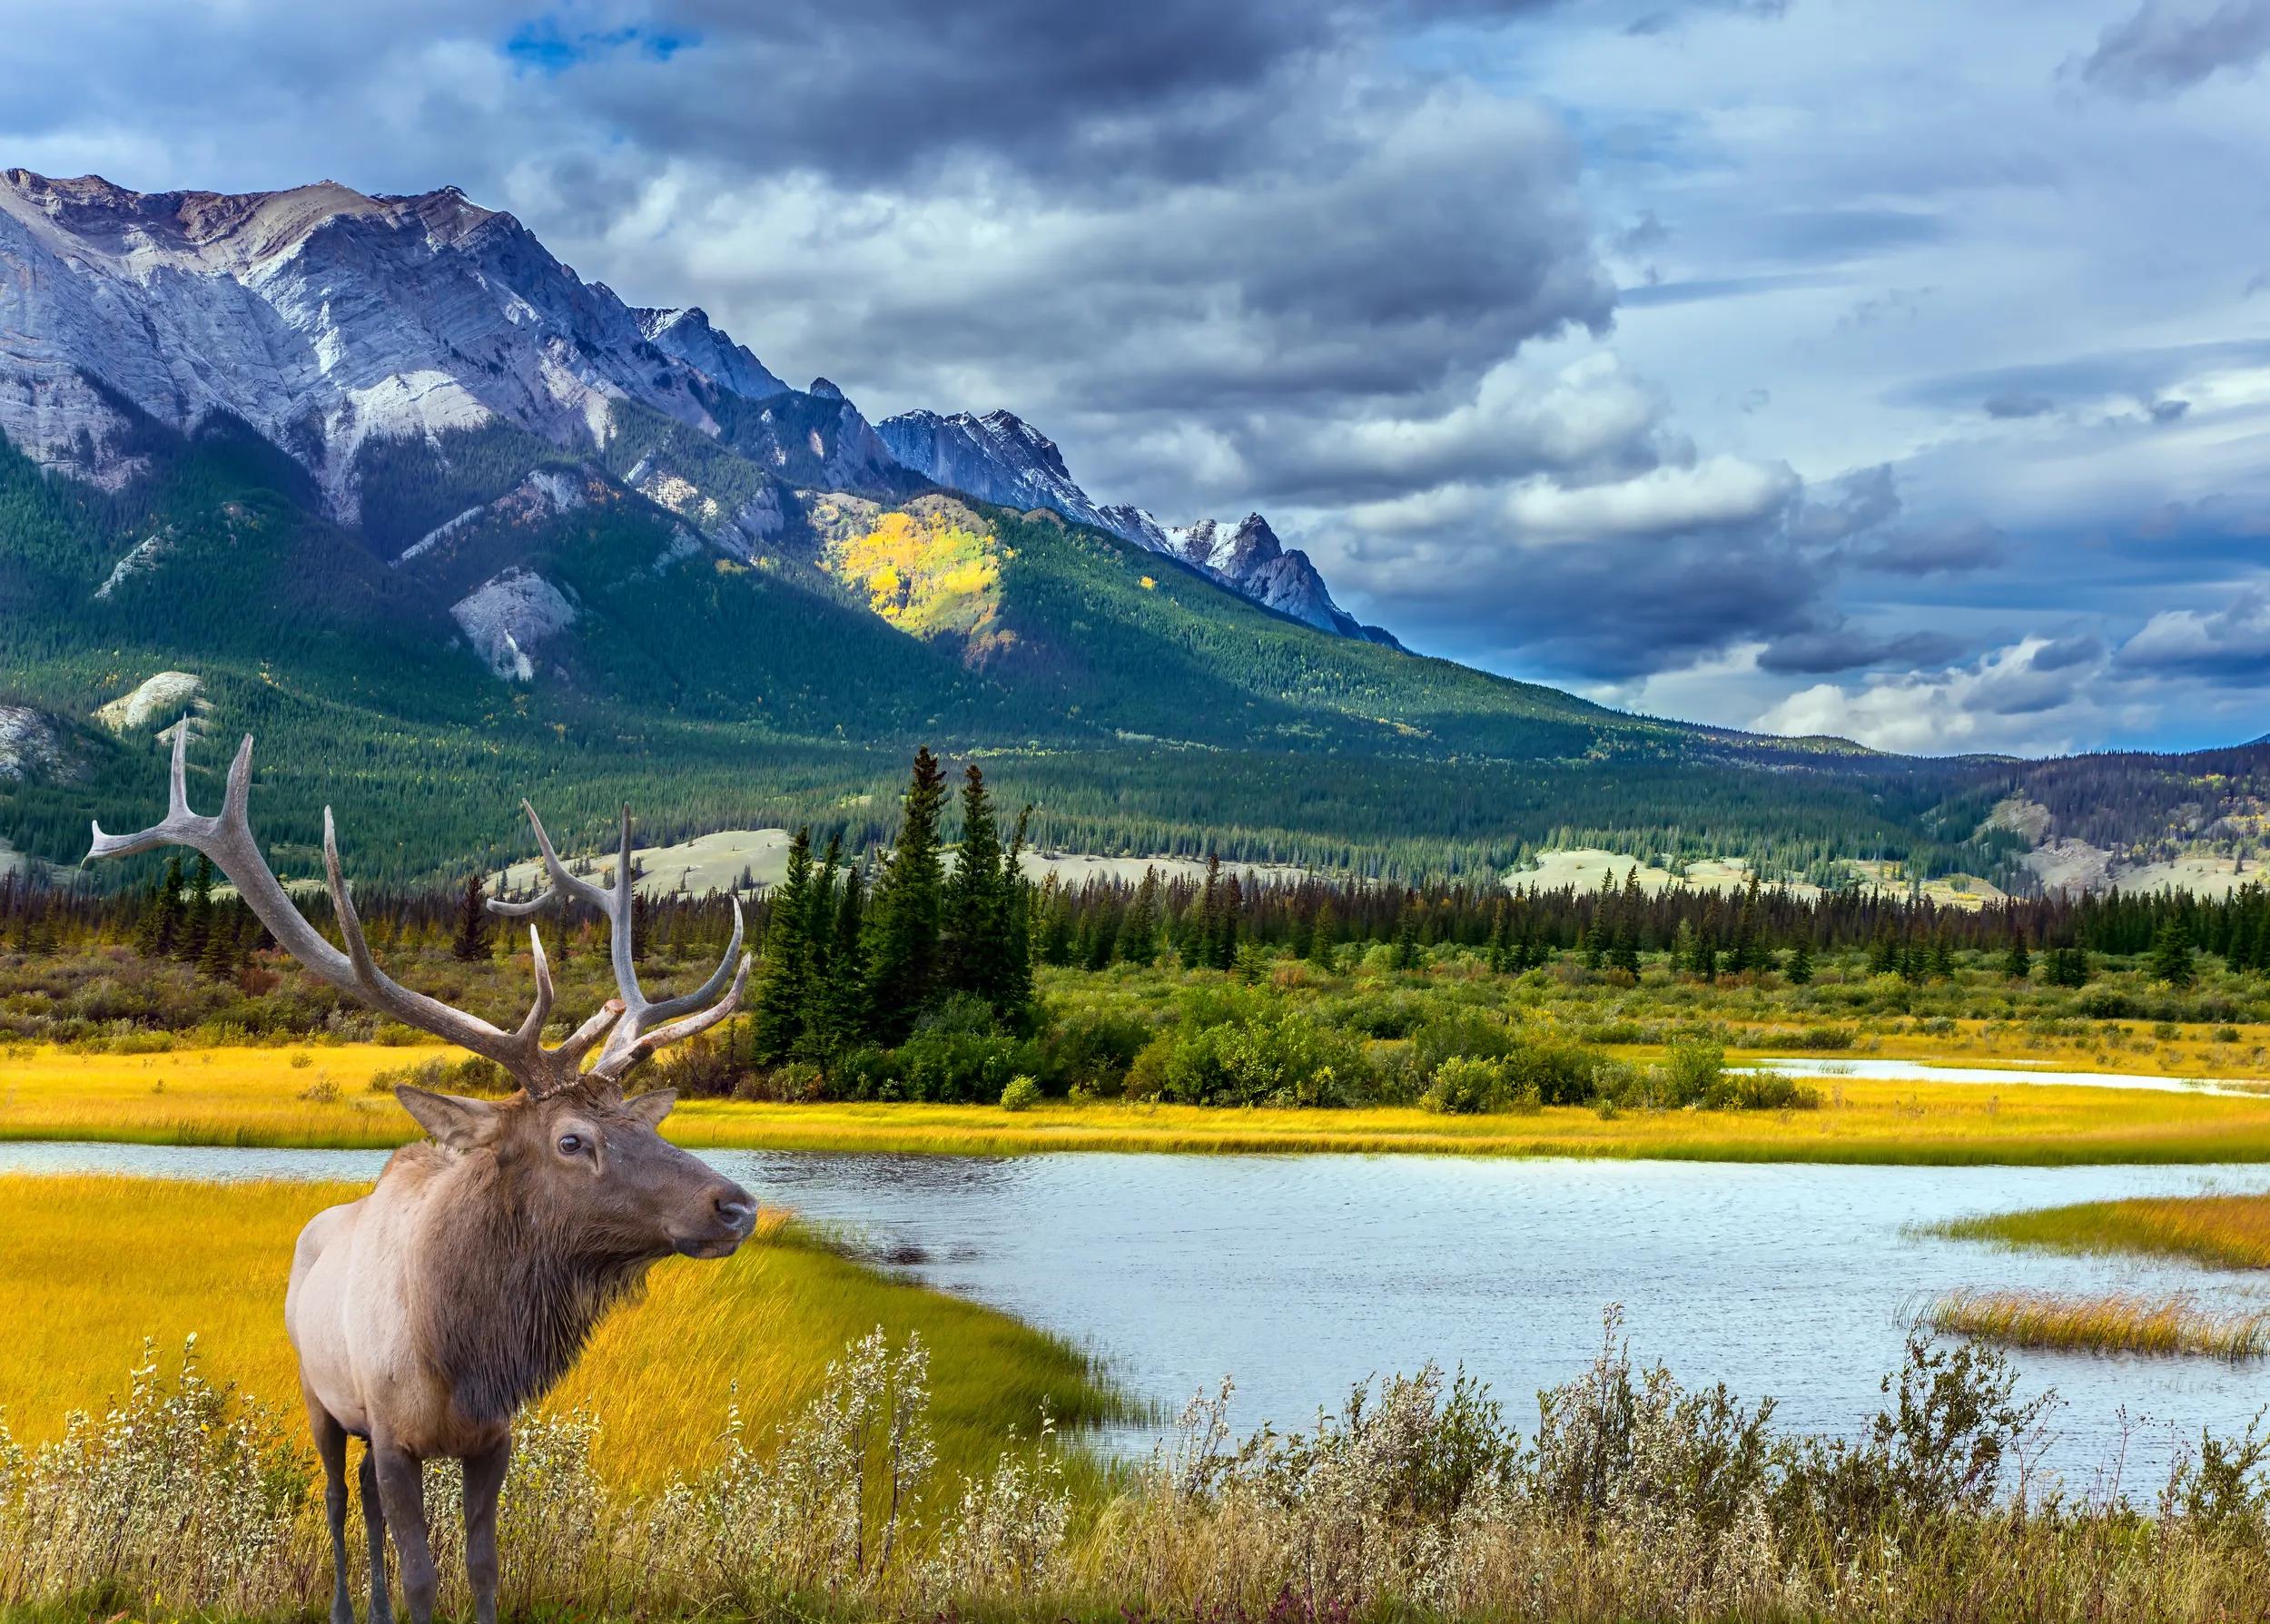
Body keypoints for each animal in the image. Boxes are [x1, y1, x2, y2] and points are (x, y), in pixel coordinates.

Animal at [88, 729, 758, 1624]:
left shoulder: (492, 1438)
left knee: (367, 1509)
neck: (460, 1351)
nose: (735, 1205)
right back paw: (348, 1604)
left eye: (644, 1125)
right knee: (341, 1503)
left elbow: (481, 1564)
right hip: (321, 1398)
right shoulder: (392, 1428)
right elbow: (420, 1573)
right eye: (572, 1140)